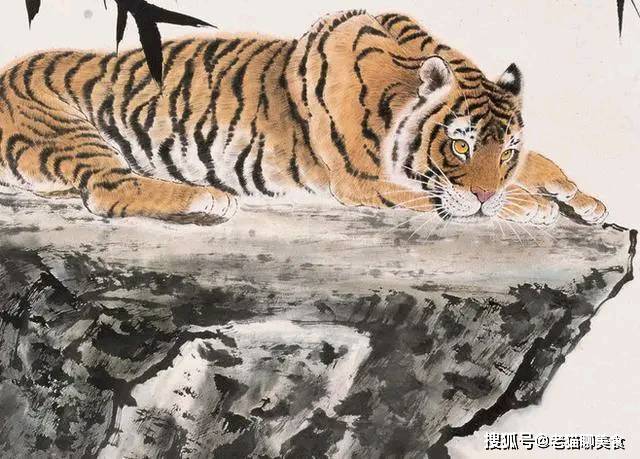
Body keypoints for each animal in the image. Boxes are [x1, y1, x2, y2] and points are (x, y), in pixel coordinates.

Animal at [0, 10, 607, 226]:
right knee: (109, 189)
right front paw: (526, 205)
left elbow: (541, 162)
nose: (486, 195)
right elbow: (431, 192)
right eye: (460, 146)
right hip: (72, 131)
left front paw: (583, 199)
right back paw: (208, 199)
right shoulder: (363, 181)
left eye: (506, 151)